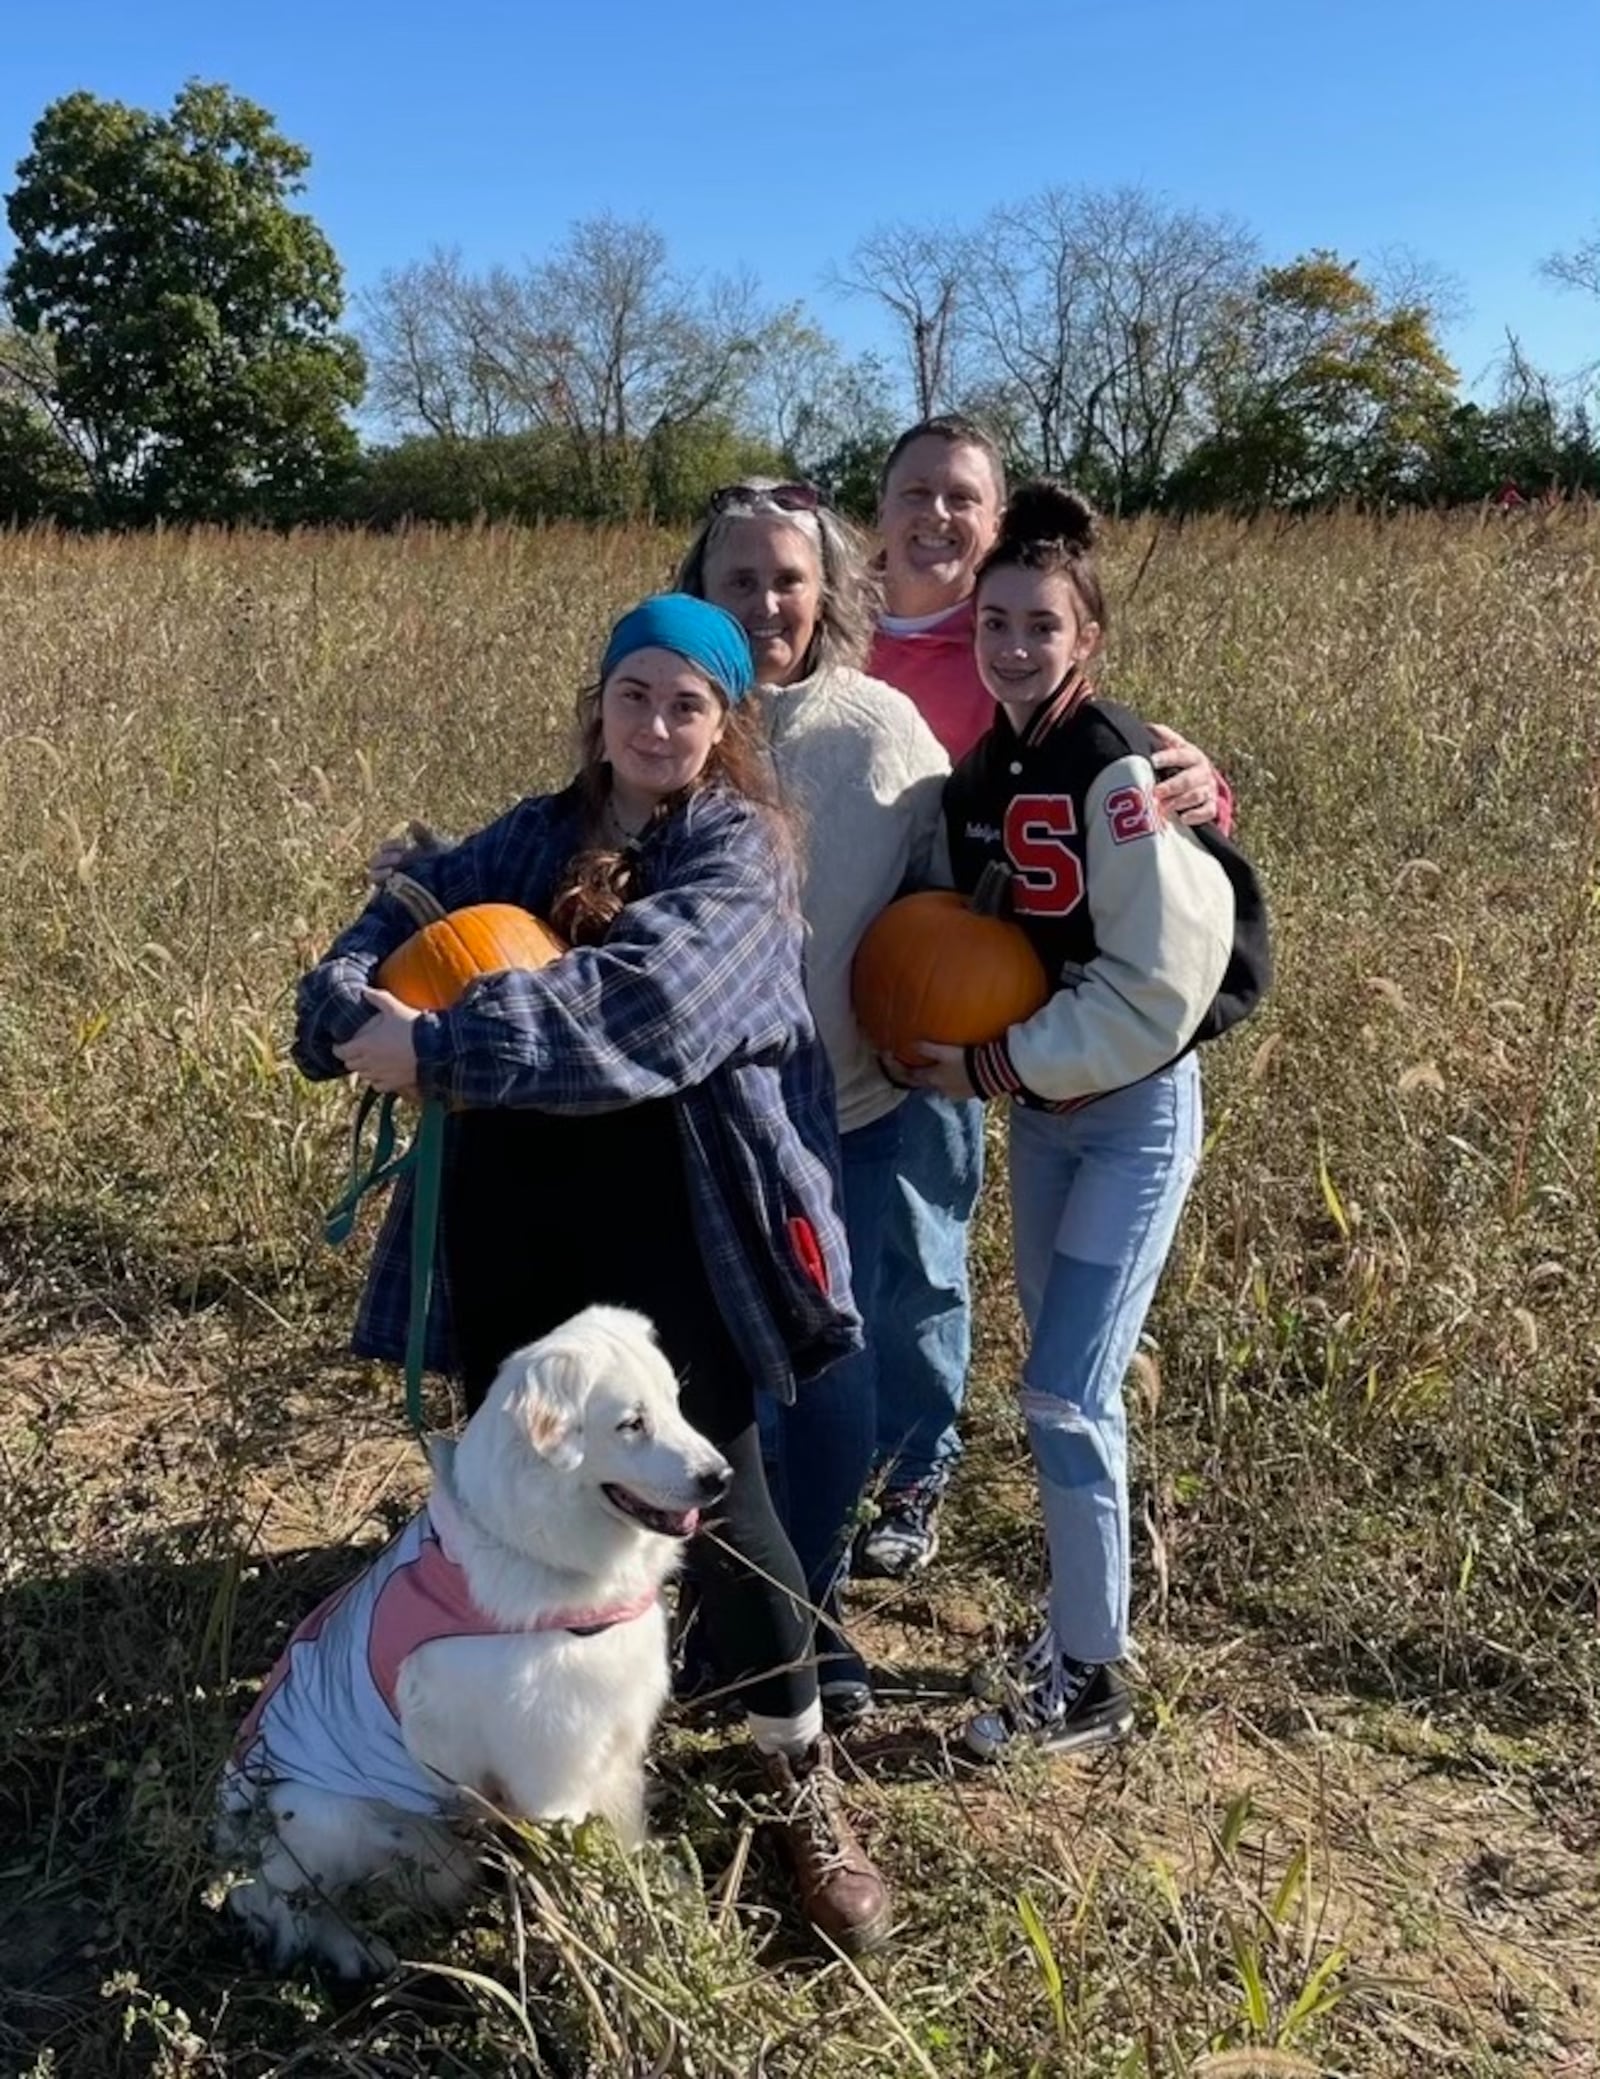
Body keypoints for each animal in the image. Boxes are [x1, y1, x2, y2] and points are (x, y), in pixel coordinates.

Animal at [215, 1305, 727, 1970]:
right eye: (630, 1424)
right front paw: (614, 1952)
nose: (720, 1477)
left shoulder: (611, 1744)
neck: (532, 1543)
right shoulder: (553, 1776)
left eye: (674, 1401)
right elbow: (590, 1878)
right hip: (322, 1814)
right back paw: (361, 1950)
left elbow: (625, 1836)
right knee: (297, 1912)